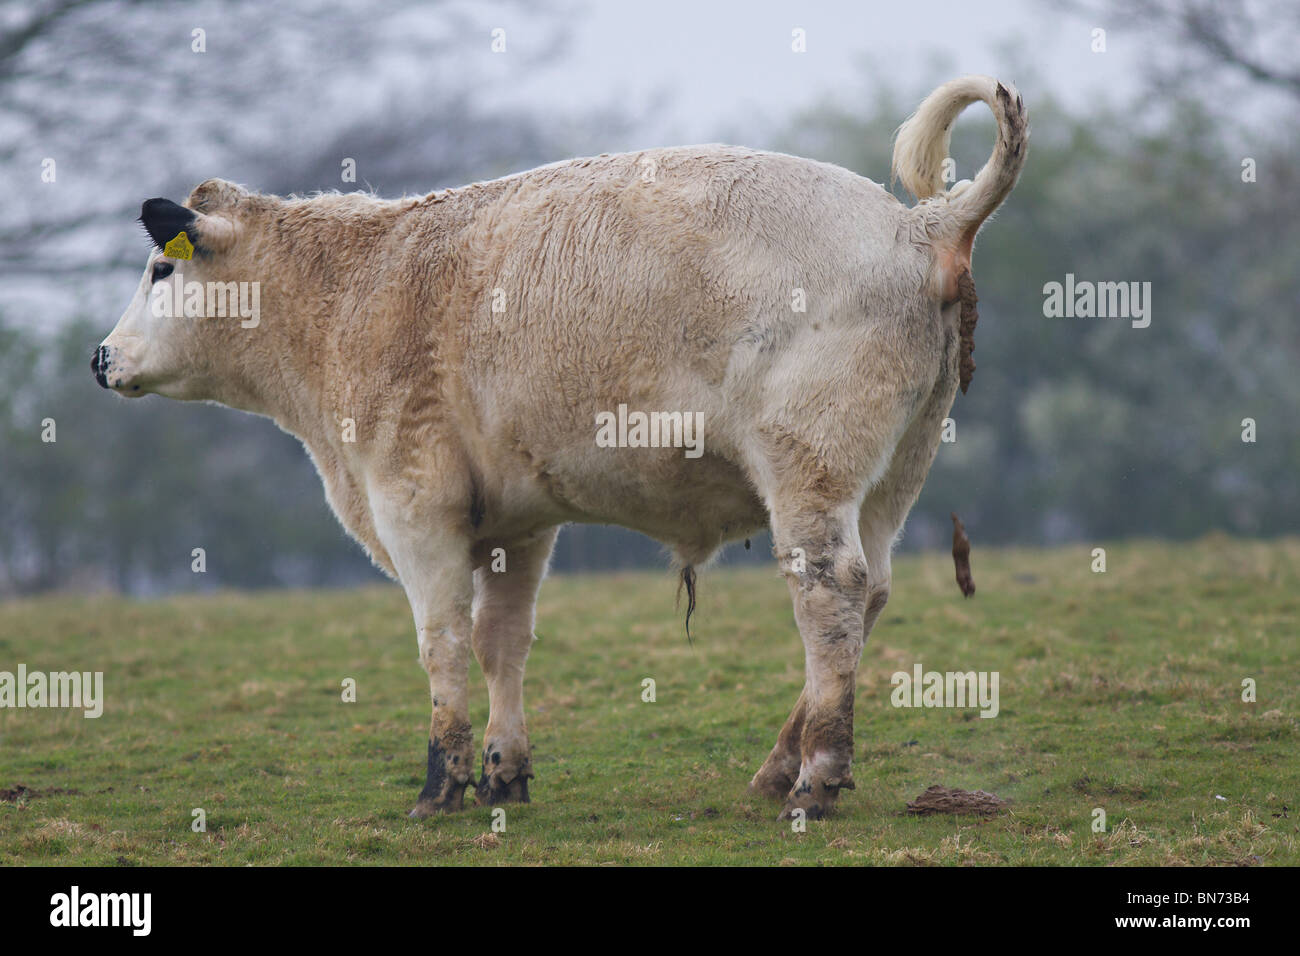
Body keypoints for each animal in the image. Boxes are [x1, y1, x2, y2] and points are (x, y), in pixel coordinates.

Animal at [94, 76, 1024, 822]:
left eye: (161, 271)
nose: (101, 358)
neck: (358, 284)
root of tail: (919, 225)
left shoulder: (413, 506)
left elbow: (441, 640)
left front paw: (441, 785)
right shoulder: (519, 523)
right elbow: (500, 640)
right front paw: (503, 772)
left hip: (809, 474)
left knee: (831, 598)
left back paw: (815, 779)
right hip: (890, 481)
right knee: (873, 595)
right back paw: (776, 766)